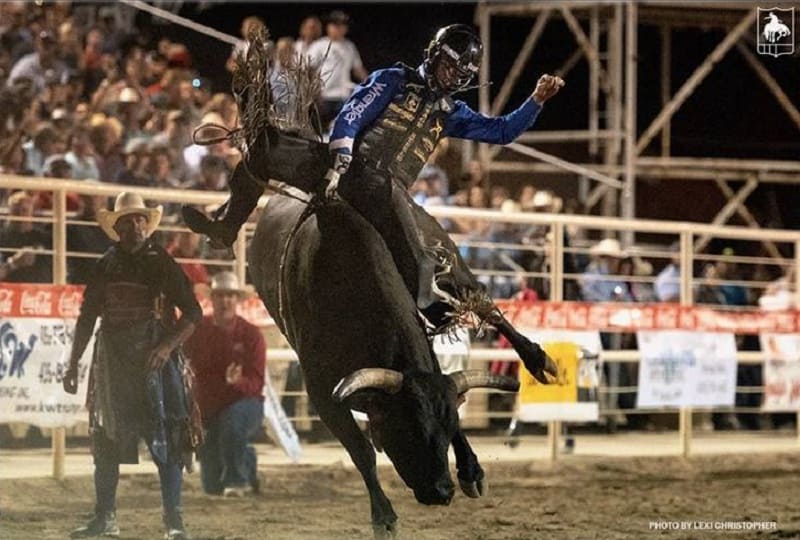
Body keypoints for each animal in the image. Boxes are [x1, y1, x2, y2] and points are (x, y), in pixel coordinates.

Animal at [250, 190, 556, 536]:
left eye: (446, 430)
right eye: (408, 430)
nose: (442, 491)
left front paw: (472, 472)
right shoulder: (323, 393)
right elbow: (362, 451)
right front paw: (384, 516)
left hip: (453, 267)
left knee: (484, 305)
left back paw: (538, 360)